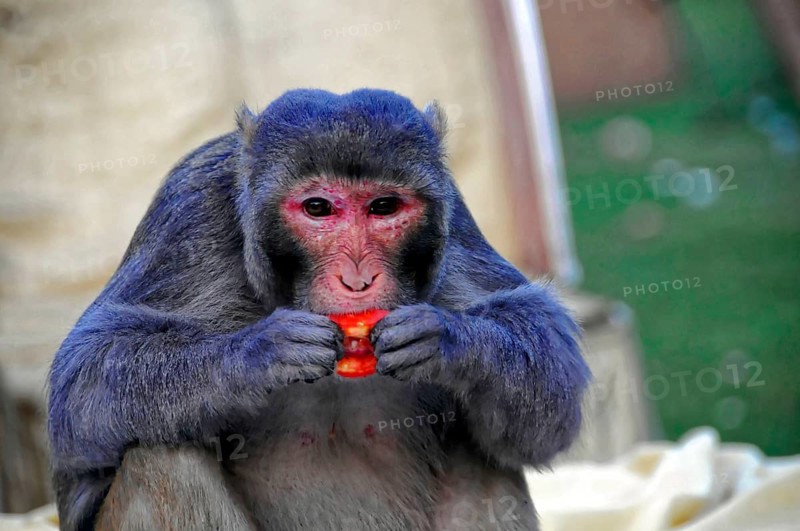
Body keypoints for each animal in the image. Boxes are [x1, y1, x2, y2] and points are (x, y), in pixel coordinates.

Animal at [47, 88, 589, 531]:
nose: (357, 280)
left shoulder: (454, 219)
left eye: (383, 207)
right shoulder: (190, 212)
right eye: (318, 208)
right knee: (162, 462)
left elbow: (547, 394)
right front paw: (260, 353)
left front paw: (447, 339)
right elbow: (82, 382)